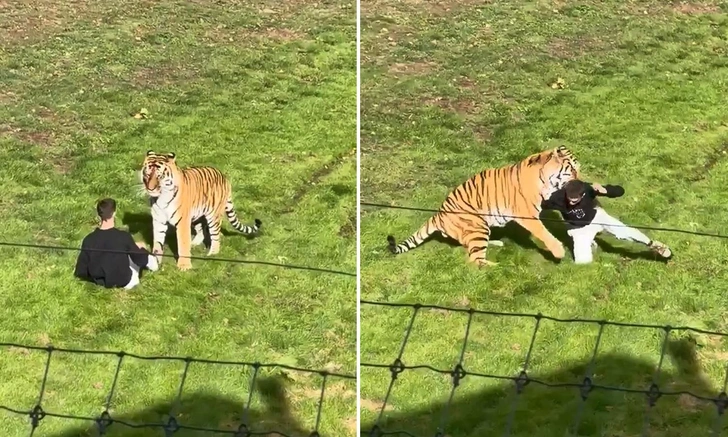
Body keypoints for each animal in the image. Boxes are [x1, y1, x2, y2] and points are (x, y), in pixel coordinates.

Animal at [386, 146, 581, 266]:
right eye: (572, 170)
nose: (580, 184)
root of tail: (437, 215)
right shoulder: (527, 213)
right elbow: (544, 233)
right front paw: (559, 251)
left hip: (482, 227)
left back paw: (496, 243)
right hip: (477, 225)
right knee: (474, 260)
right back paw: (500, 267)